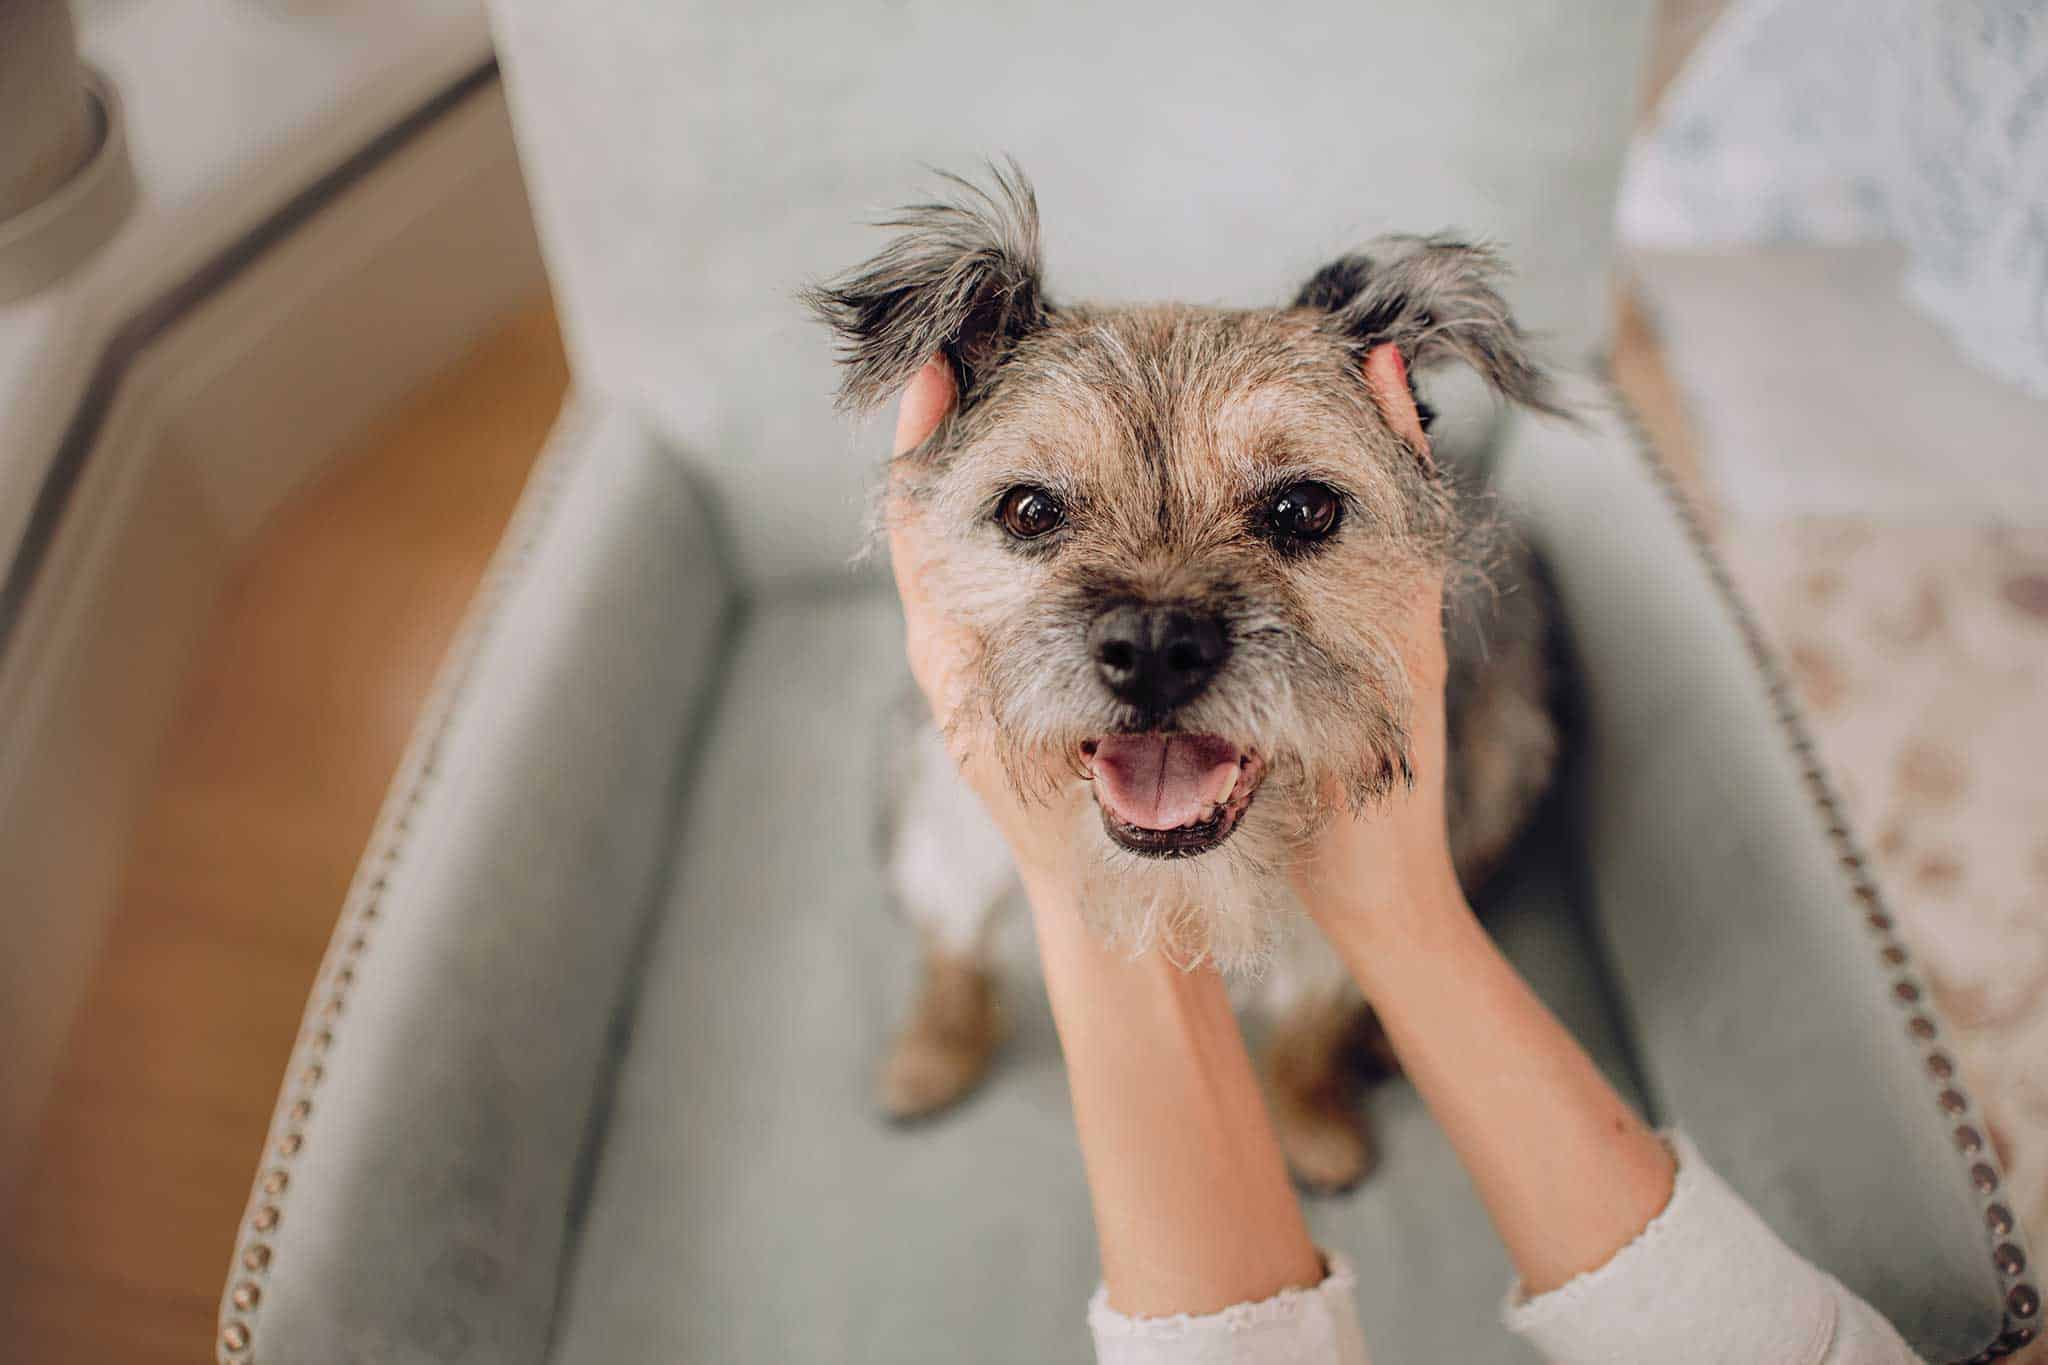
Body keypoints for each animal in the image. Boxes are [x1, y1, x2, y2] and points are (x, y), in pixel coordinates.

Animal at [802, 162, 1564, 1195]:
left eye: (1304, 507)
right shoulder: (944, 832)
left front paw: (1311, 1120)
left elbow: (1309, 1023)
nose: (1158, 644)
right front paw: (934, 1052)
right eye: (1031, 509)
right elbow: (952, 953)